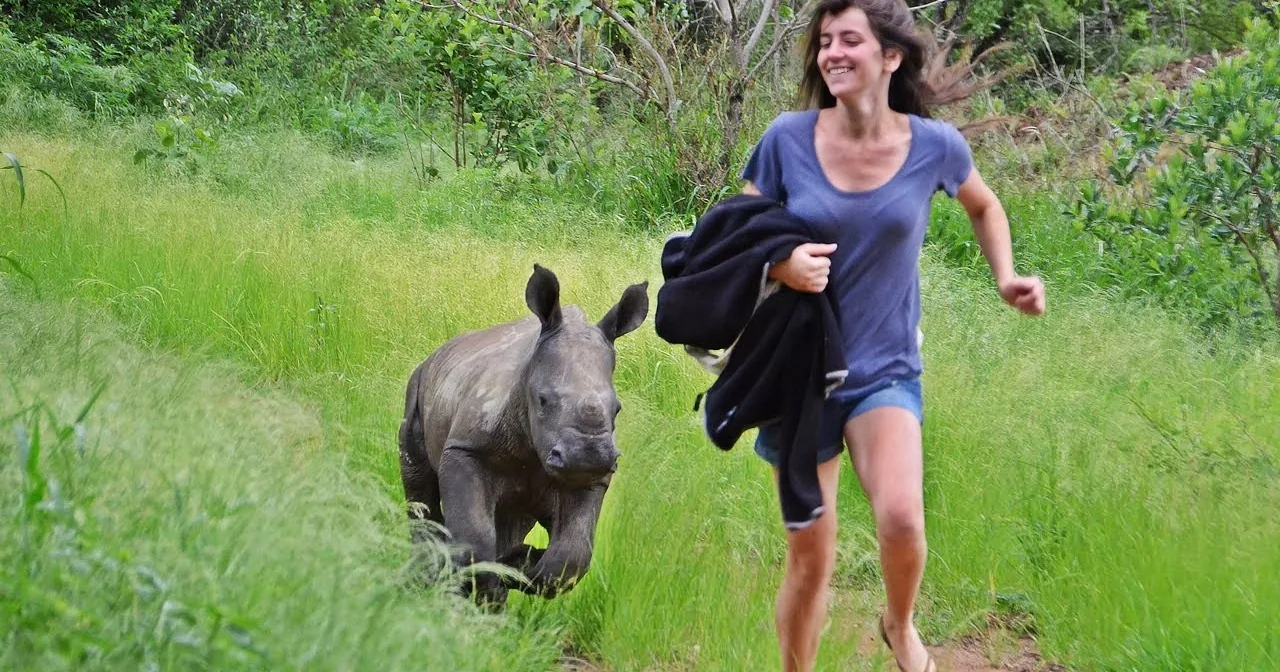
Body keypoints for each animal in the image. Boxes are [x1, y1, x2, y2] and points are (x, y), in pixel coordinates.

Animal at [398, 264, 649, 604]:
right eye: (542, 400)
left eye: (618, 408)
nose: (588, 455)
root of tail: (441, 350)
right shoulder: (465, 450)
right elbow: (474, 536)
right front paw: (480, 583)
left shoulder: (591, 480)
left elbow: (572, 554)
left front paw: (518, 564)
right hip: (419, 384)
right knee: (420, 488)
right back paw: (428, 580)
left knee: (510, 517)